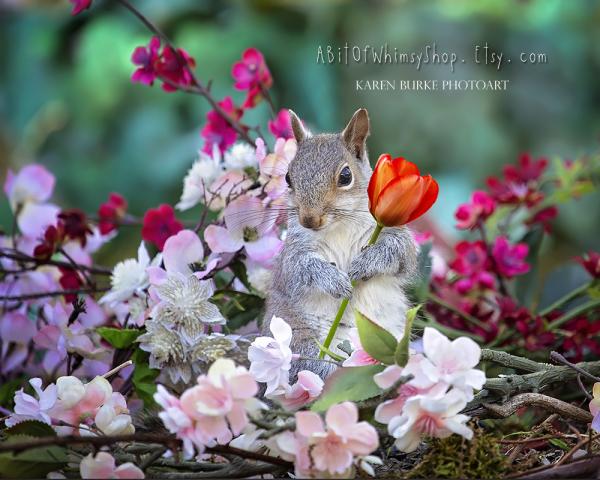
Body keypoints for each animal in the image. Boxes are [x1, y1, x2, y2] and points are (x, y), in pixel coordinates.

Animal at [262, 108, 418, 378]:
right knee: (311, 367)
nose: (309, 219)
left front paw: (366, 263)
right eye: (288, 177)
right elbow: (299, 268)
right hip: (298, 337)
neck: (339, 226)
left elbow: (400, 253)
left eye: (346, 176)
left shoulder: (395, 234)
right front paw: (333, 280)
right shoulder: (292, 254)